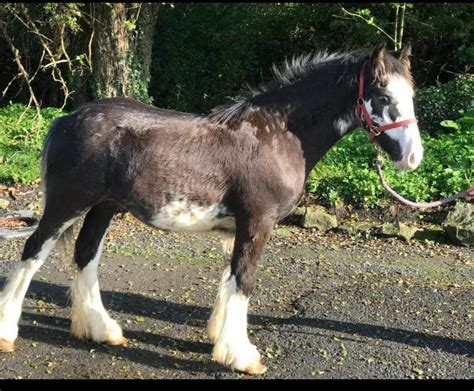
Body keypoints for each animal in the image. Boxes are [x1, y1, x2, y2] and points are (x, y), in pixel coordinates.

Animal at [0, 43, 422, 376]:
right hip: (66, 204)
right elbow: (244, 280)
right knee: (33, 253)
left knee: (86, 254)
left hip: (103, 208)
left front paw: (220, 338)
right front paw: (242, 356)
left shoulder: (238, 228)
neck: (279, 135)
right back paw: (7, 332)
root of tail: (66, 119)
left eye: (411, 94)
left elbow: (229, 279)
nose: (413, 158)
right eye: (383, 96)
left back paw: (103, 330)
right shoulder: (258, 222)